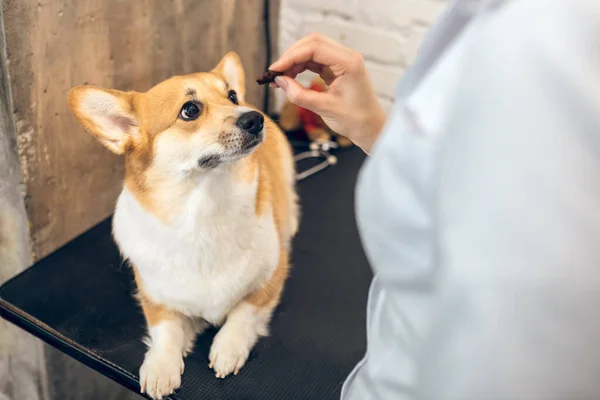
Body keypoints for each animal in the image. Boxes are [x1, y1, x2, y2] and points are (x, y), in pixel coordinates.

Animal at [68, 52, 300, 400]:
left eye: (231, 96)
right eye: (190, 110)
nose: (255, 118)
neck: (204, 209)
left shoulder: (272, 277)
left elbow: (243, 312)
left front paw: (228, 347)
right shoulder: (154, 297)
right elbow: (165, 329)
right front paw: (160, 366)